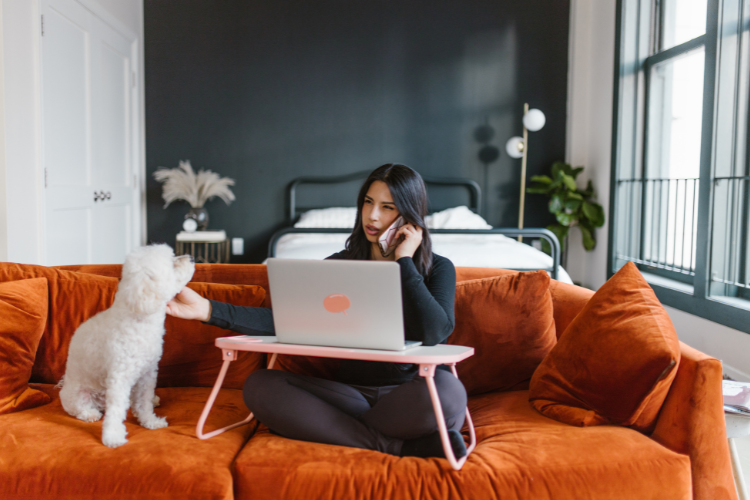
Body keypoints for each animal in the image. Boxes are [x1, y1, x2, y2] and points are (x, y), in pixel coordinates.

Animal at [59, 244, 194, 448]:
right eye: (172, 263)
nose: (191, 258)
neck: (139, 319)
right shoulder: (119, 378)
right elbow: (115, 411)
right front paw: (113, 437)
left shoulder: (147, 374)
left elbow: (144, 402)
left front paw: (150, 421)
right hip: (78, 394)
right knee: (78, 408)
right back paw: (89, 413)